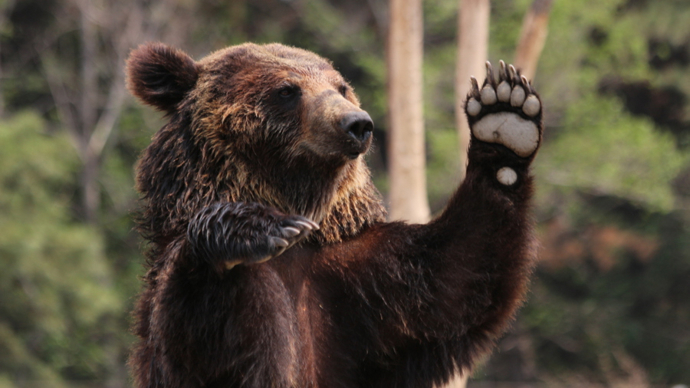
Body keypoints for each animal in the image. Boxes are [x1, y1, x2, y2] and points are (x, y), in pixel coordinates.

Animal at [126, 42, 540, 388]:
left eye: (340, 87)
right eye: (287, 90)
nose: (357, 123)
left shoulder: (356, 286)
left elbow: (453, 282)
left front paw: (506, 115)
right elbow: (199, 347)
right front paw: (251, 231)